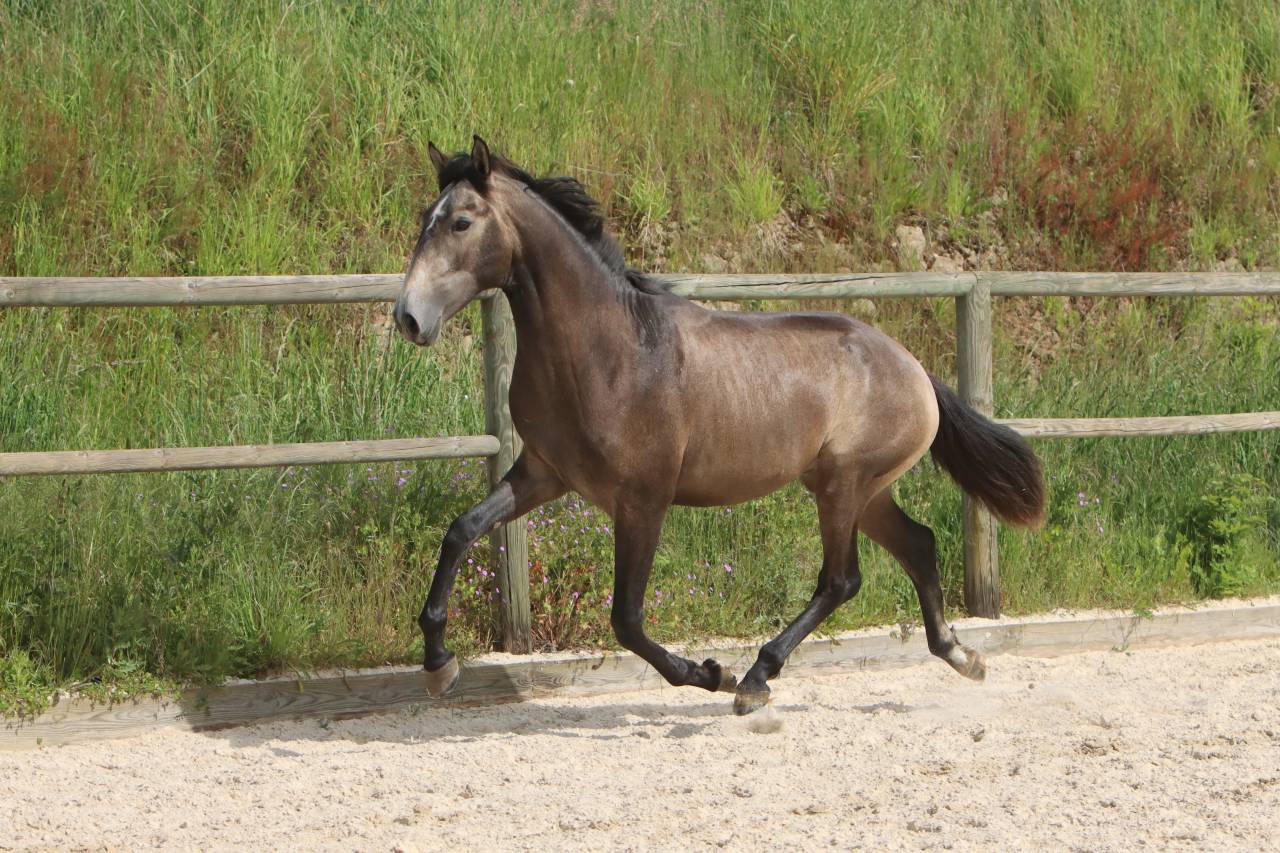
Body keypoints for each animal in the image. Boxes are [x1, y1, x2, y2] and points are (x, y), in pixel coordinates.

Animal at [394, 136, 1045, 715]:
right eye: (426, 218)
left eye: (460, 223)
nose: (408, 318)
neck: (608, 349)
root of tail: (914, 369)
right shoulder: (543, 473)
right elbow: (460, 530)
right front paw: (438, 665)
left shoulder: (643, 499)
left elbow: (626, 619)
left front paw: (710, 672)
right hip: (858, 490)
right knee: (918, 544)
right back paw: (961, 654)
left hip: (844, 486)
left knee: (841, 580)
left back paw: (754, 680)